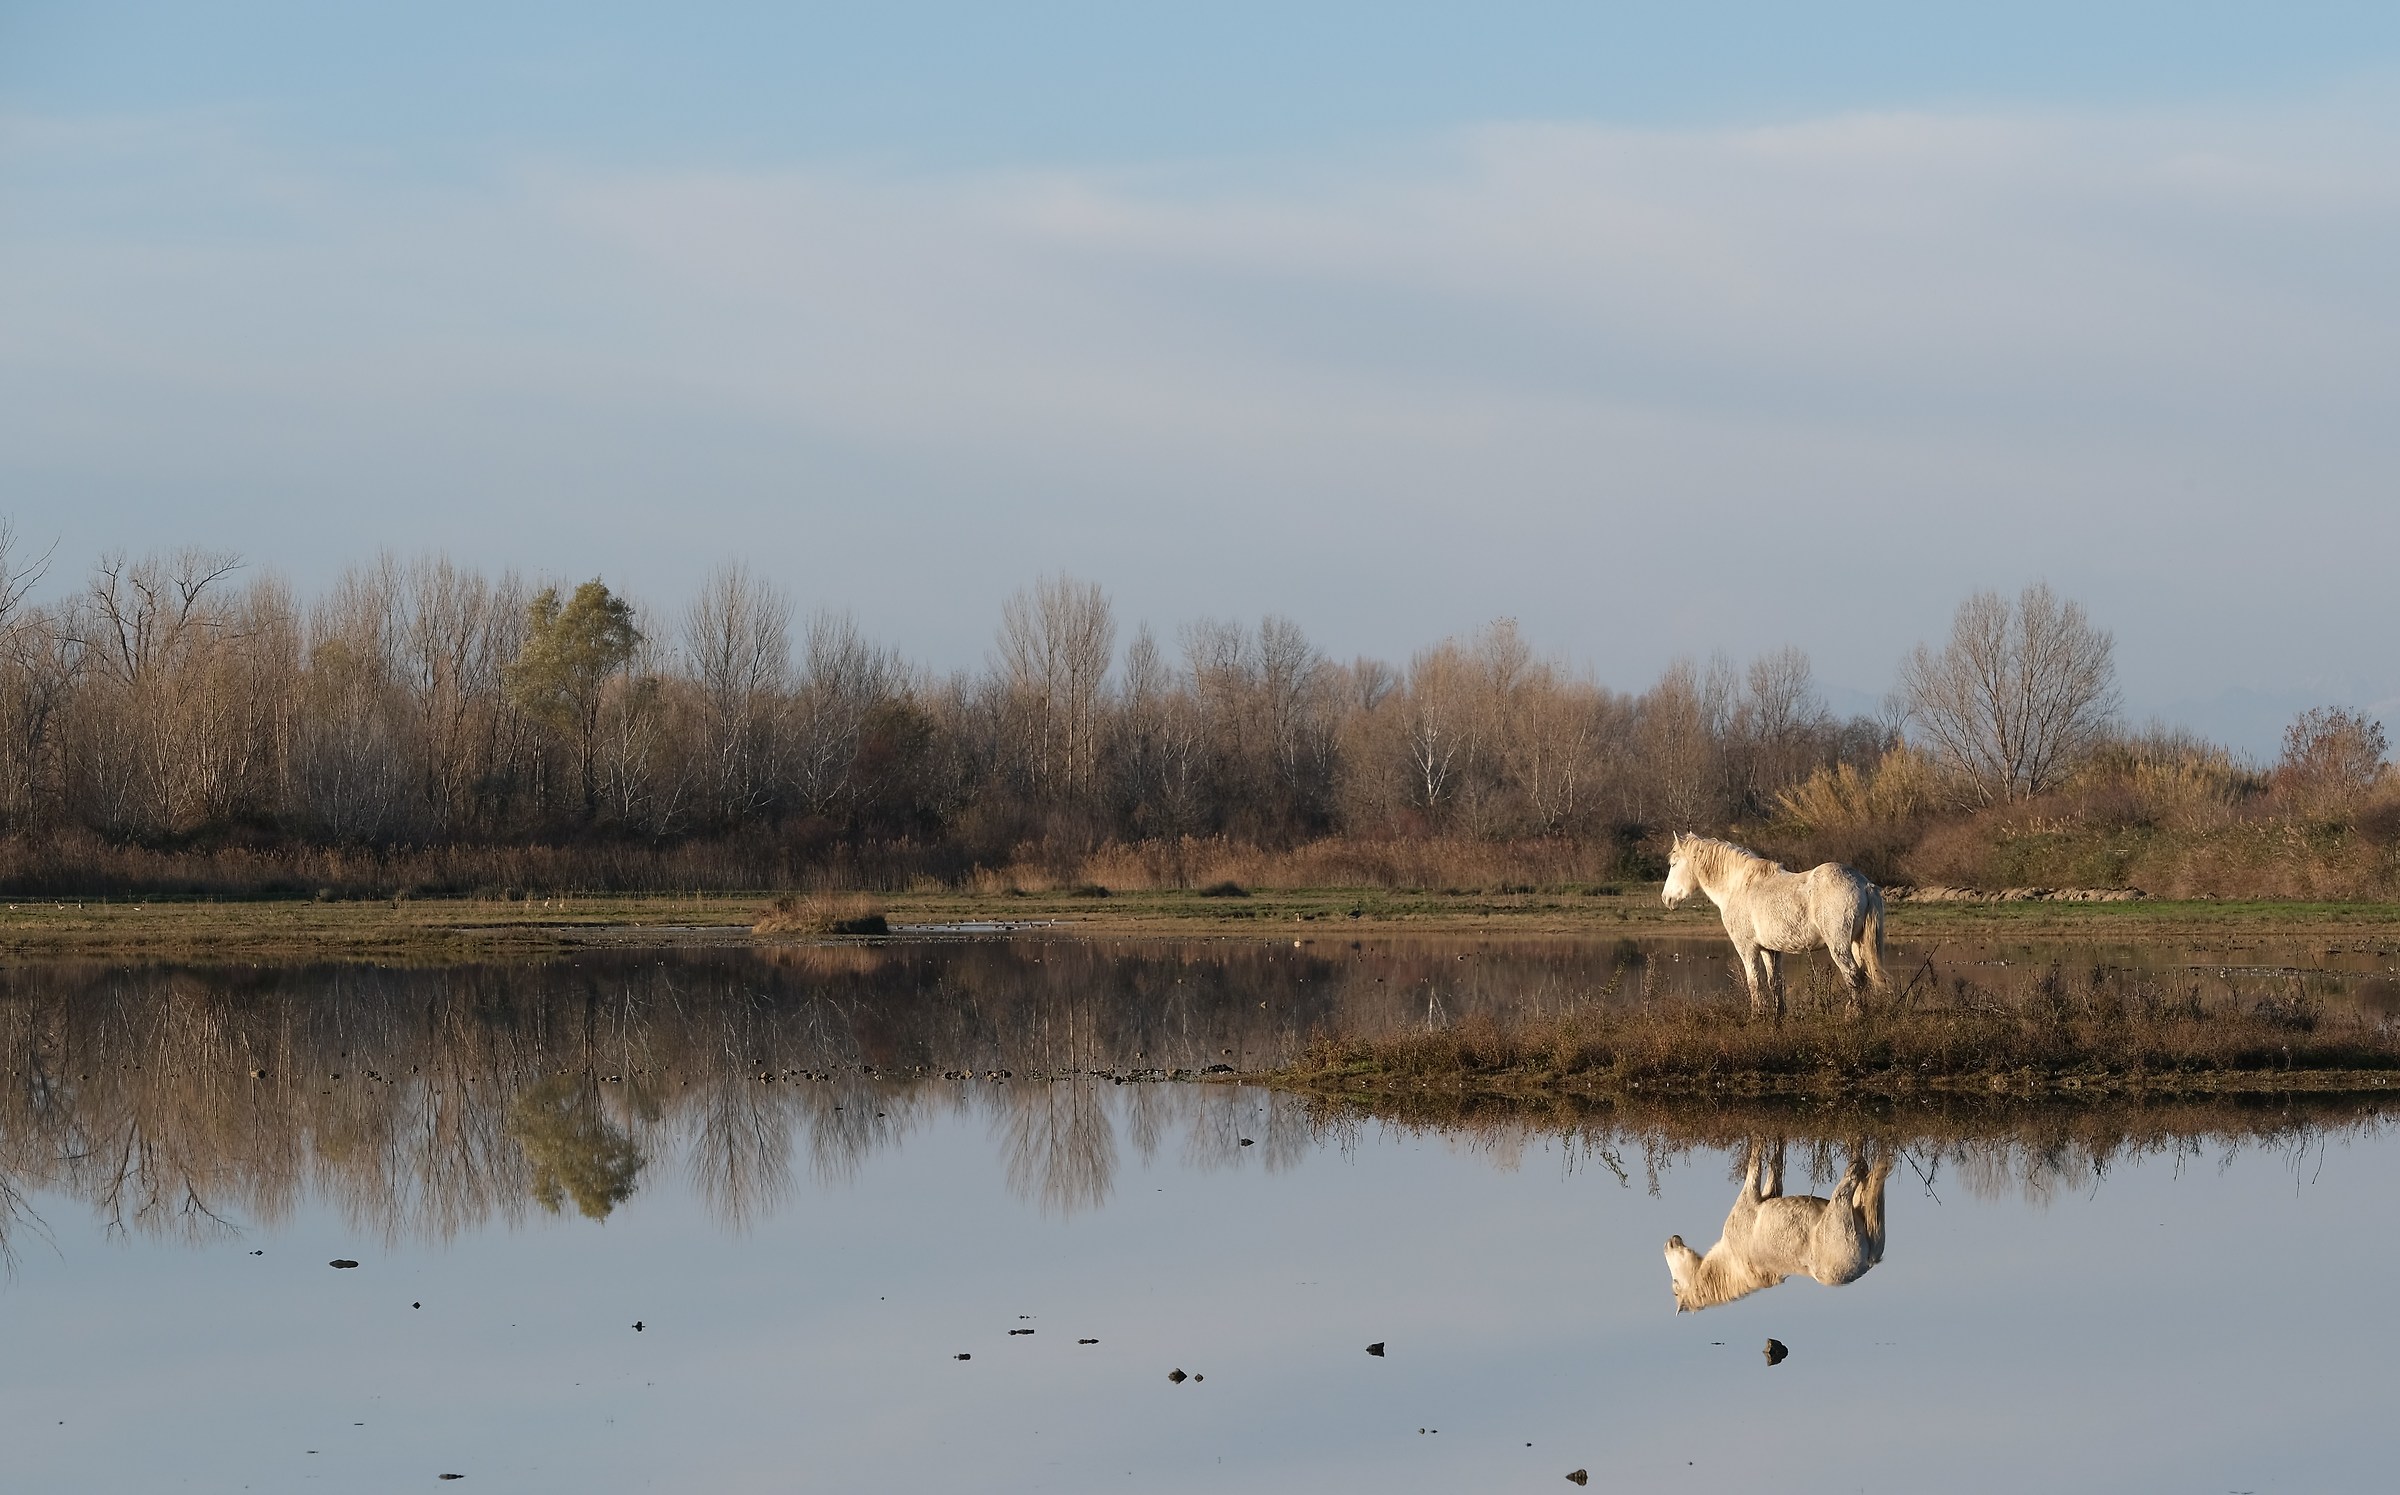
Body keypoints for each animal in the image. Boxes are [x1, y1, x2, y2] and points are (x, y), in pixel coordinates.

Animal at [1662, 833, 1885, 1017]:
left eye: (1673, 864)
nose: (1666, 898)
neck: (1738, 887)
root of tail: (1865, 884)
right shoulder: (1770, 950)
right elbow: (1775, 983)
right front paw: (1778, 1018)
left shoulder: (1747, 948)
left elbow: (1754, 982)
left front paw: (1757, 1016)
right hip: (1857, 944)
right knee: (1863, 976)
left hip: (1839, 947)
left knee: (1853, 976)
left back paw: (1853, 1017)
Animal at [1663, 1141, 1891, 1313]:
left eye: (1674, 1286)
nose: (1669, 1241)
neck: (1732, 1261)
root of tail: (1867, 1261)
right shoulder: (1761, 1195)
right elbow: (1771, 1168)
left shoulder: (1752, 1197)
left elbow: (1759, 1164)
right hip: (1856, 1207)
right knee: (1859, 1181)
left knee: (1855, 1175)